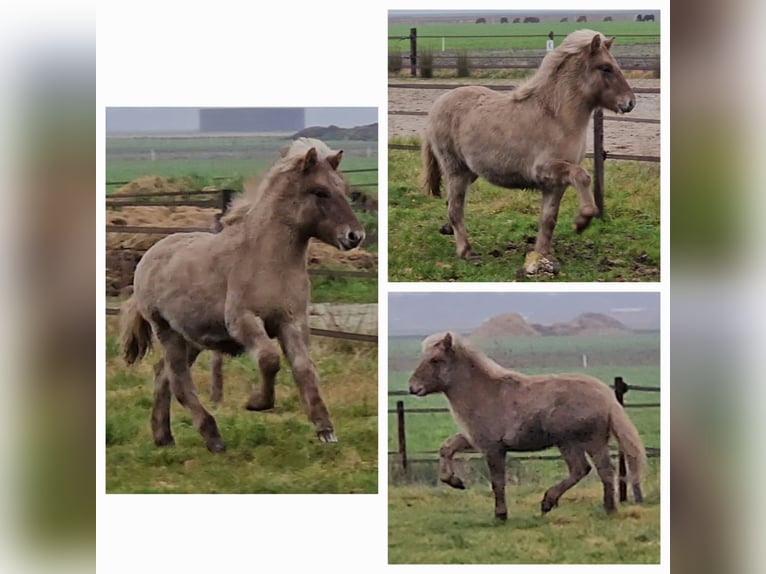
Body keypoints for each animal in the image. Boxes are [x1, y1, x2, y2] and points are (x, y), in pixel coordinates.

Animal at [120, 138, 366, 450]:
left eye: (344, 189)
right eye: (320, 191)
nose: (355, 236)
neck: (267, 260)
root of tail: (149, 257)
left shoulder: (291, 322)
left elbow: (304, 368)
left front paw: (325, 430)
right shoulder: (243, 321)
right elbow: (269, 359)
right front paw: (256, 402)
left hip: (192, 339)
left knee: (162, 376)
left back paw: (164, 437)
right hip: (167, 332)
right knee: (178, 381)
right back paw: (212, 437)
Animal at [408, 332, 648, 520]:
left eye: (436, 360)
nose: (413, 387)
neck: (484, 392)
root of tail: (607, 397)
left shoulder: (493, 448)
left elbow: (497, 482)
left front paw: (500, 515)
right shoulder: (474, 440)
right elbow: (446, 448)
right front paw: (455, 481)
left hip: (583, 441)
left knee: (596, 470)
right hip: (574, 443)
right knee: (587, 470)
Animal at [424, 30, 640, 276]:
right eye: (605, 68)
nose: (630, 102)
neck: (556, 116)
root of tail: (437, 105)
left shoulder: (555, 185)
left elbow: (548, 220)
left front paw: (543, 257)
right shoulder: (545, 170)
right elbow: (582, 176)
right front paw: (582, 221)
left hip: (470, 173)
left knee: (450, 203)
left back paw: (447, 230)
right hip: (456, 171)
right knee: (456, 208)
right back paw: (466, 251)